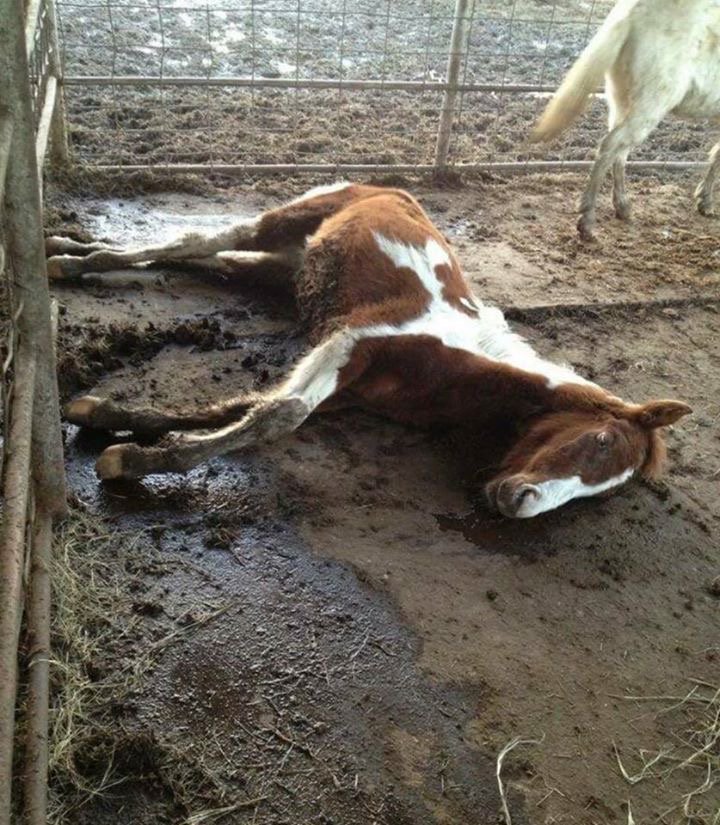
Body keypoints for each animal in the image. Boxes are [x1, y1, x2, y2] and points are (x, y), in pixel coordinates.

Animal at [46, 182, 691, 518]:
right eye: (600, 441)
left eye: (606, 489)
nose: (523, 503)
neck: (460, 363)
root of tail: (389, 186)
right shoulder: (352, 343)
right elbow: (280, 415)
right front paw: (133, 462)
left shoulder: (349, 390)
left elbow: (239, 408)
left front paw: (106, 418)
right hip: (282, 222)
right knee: (194, 240)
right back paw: (68, 260)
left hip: (285, 268)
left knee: (209, 257)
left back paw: (69, 246)